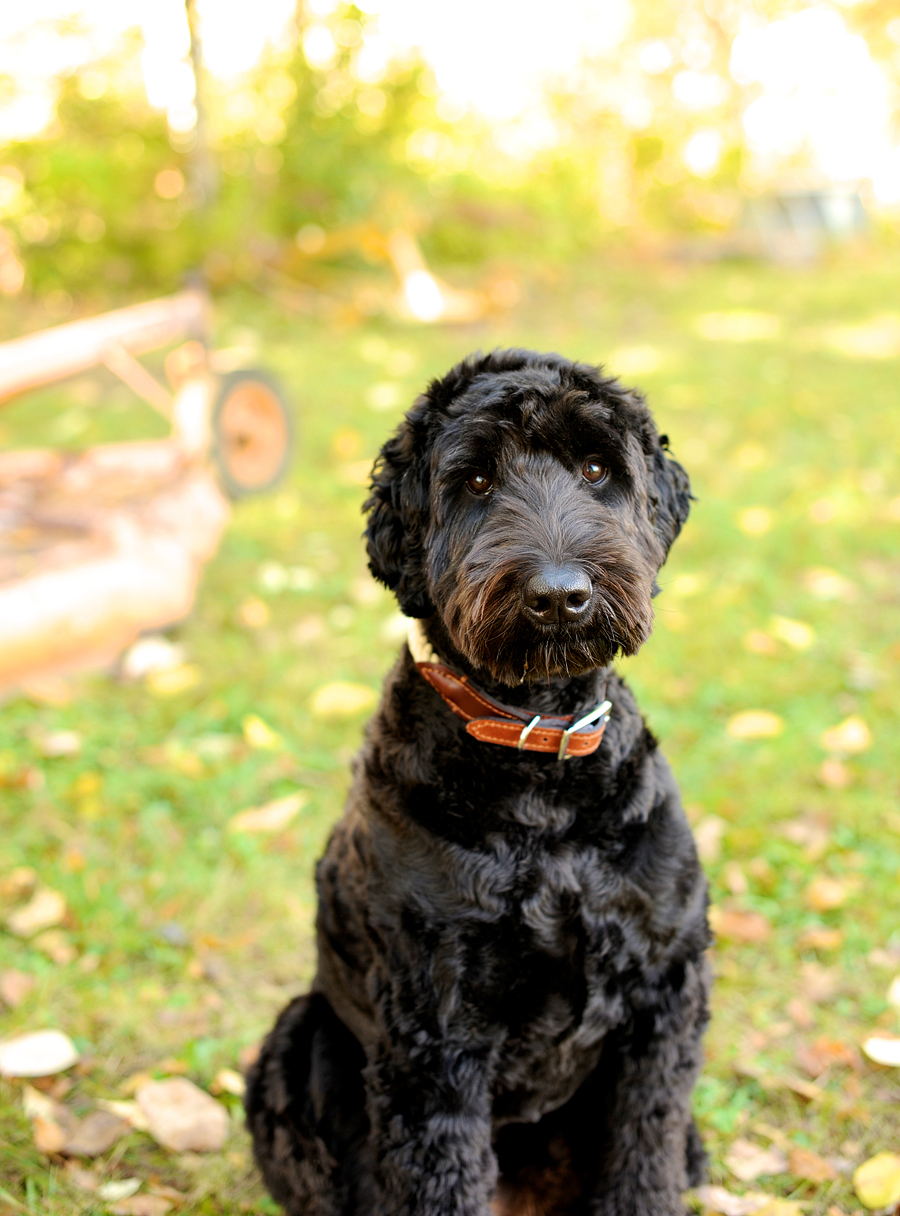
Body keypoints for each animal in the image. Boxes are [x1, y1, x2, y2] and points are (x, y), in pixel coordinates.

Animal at [248, 350, 710, 1216]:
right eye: (474, 481)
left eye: (596, 468)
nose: (560, 595)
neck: (539, 763)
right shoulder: (434, 1036)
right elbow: (444, 1177)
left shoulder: (665, 992)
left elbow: (647, 1149)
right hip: (299, 1036)